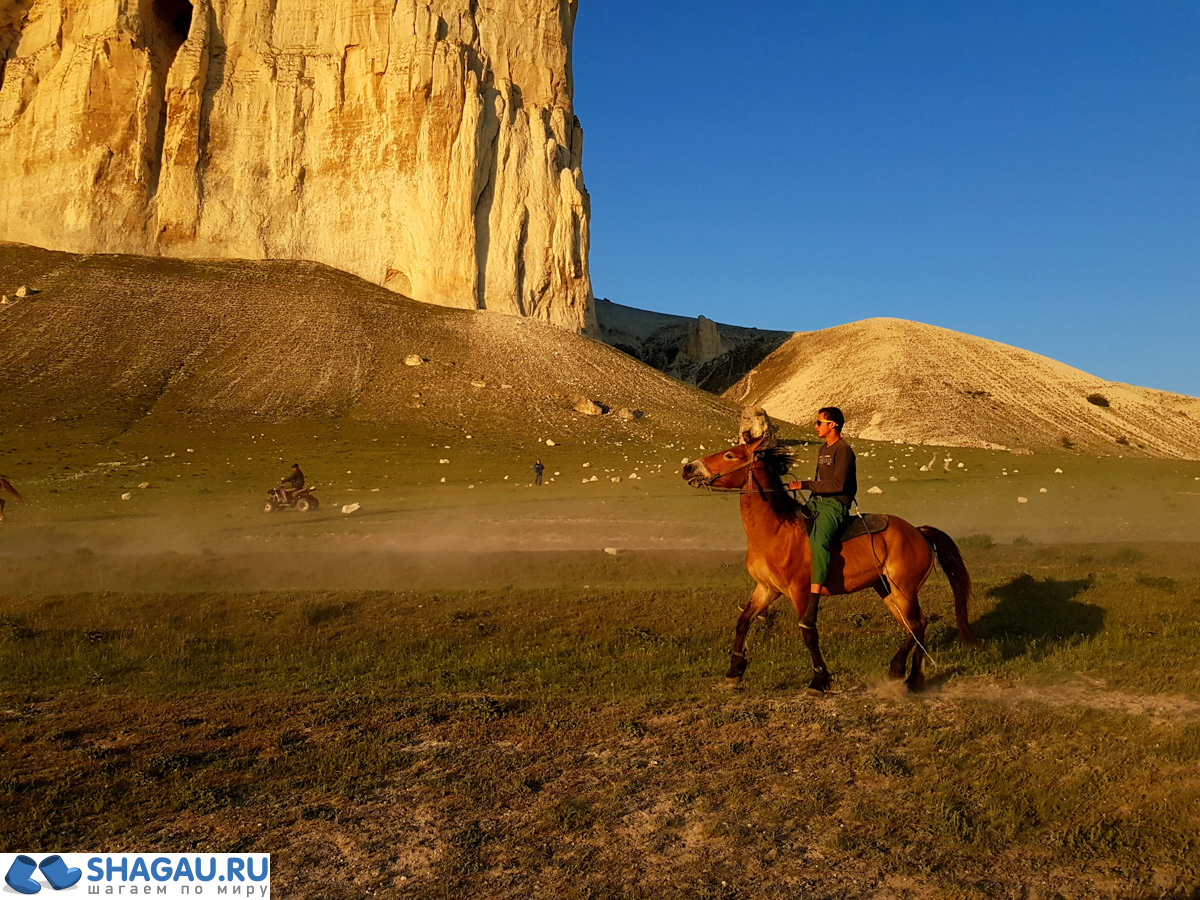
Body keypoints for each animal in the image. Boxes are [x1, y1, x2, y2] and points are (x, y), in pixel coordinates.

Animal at [686, 441, 974, 696]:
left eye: (730, 455)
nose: (688, 468)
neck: (776, 531)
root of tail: (918, 532)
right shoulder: (766, 589)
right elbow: (743, 621)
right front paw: (734, 673)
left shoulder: (801, 591)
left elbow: (808, 632)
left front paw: (819, 681)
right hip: (887, 590)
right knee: (916, 625)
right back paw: (910, 678)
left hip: (904, 589)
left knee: (916, 625)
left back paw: (901, 672)